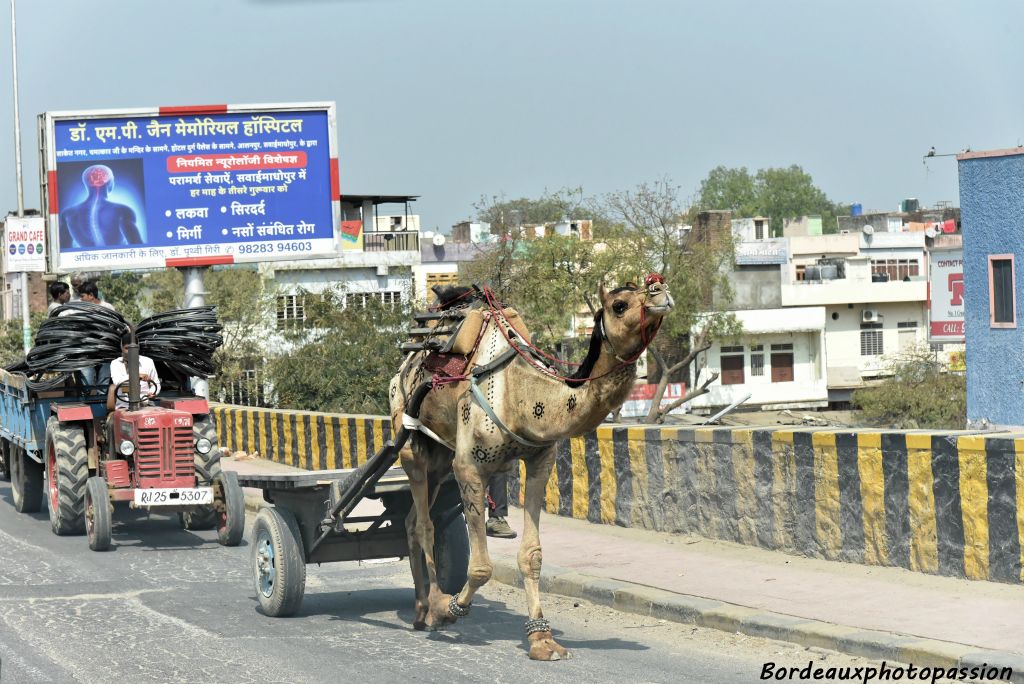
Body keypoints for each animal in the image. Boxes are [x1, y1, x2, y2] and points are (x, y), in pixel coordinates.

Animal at [385, 274, 671, 659]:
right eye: (619, 304)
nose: (660, 291)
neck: (524, 396)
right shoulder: (469, 466)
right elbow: (481, 567)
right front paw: (449, 608)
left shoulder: (539, 462)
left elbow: (532, 555)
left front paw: (543, 639)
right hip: (410, 439)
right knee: (424, 524)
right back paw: (432, 607)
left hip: (440, 456)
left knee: (412, 519)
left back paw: (418, 608)